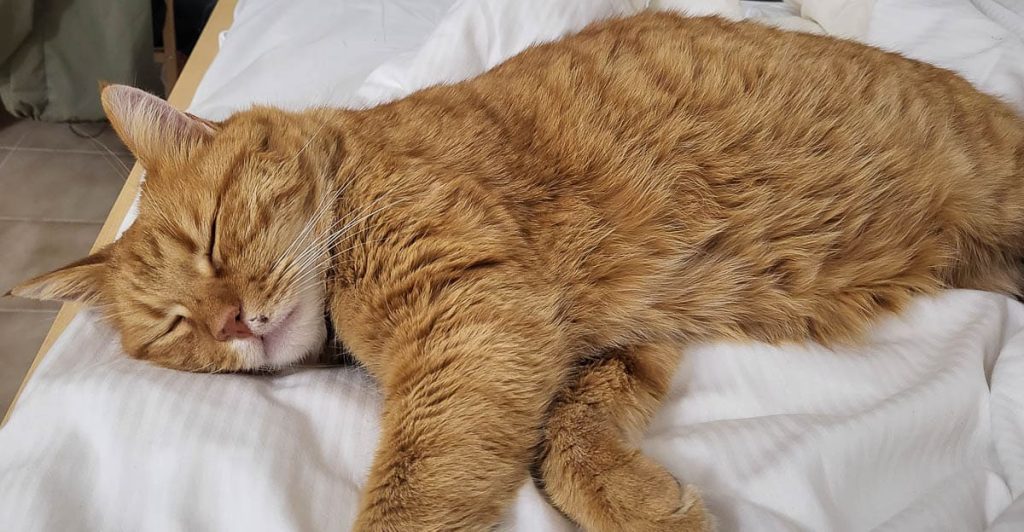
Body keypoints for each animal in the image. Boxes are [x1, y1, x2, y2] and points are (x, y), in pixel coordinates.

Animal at [9, 12, 1024, 532]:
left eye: (216, 237)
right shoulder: (609, 334)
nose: (230, 323)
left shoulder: (474, 308)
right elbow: (565, 443)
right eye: (174, 326)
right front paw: (637, 500)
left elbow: (422, 485)